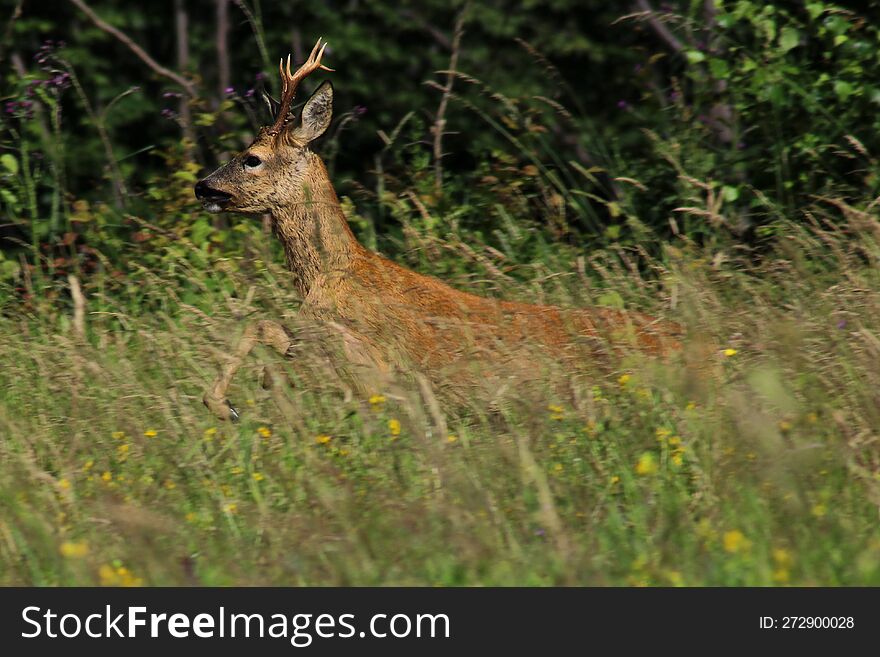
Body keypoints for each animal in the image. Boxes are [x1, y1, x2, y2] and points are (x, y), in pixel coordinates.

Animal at [198, 39, 680, 420]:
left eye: (252, 158)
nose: (202, 185)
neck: (329, 276)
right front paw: (227, 401)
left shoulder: (374, 367)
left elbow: (264, 328)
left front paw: (227, 404)